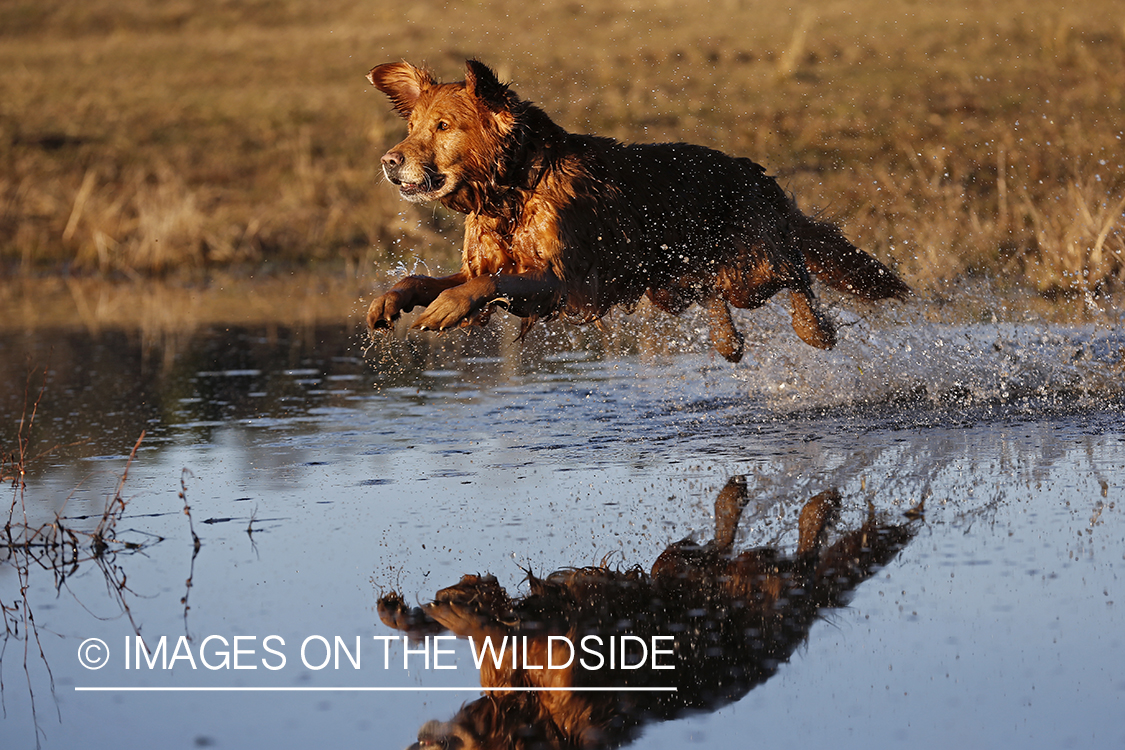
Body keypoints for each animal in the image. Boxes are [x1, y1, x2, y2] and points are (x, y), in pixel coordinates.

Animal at [364, 61, 909, 359]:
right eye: (412, 126)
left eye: (443, 126)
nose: (389, 160)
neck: (515, 191)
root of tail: (756, 174)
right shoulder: (495, 262)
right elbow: (427, 278)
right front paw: (393, 299)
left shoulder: (567, 279)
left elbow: (483, 285)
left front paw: (448, 307)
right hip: (675, 280)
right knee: (716, 295)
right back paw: (727, 341)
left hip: (750, 272)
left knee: (796, 272)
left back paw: (814, 328)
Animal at [380, 479, 922, 746]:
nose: (418, 745)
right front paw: (426, 612)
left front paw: (438, 612)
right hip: (723, 589)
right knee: (758, 556)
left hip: (735, 596)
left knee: (772, 557)